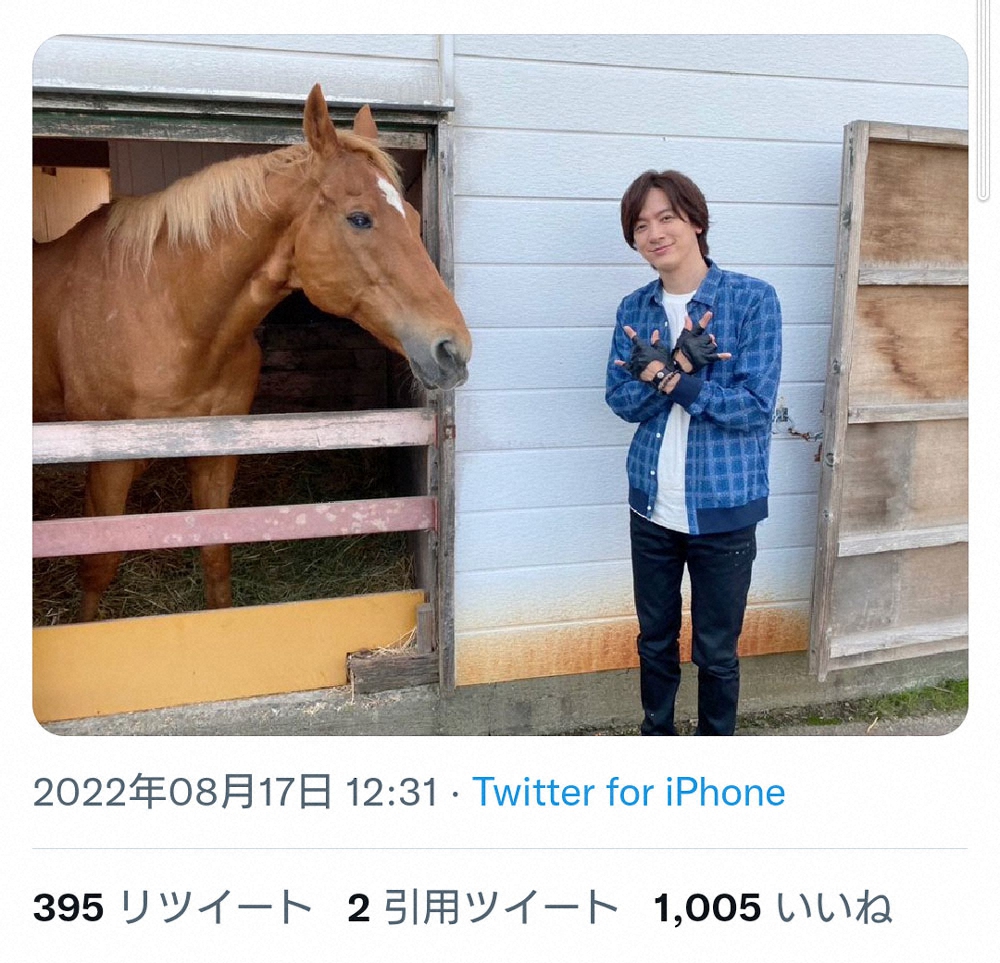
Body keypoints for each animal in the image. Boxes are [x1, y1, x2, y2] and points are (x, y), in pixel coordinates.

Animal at [33, 84, 472, 622]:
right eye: (359, 218)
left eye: (412, 217)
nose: (453, 349)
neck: (170, 312)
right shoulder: (108, 461)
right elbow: (97, 562)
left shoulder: (217, 454)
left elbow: (216, 556)